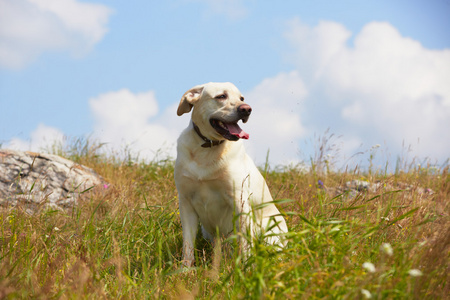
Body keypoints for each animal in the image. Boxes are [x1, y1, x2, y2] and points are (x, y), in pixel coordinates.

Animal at [174, 82, 286, 268]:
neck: (208, 149)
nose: (247, 109)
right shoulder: (186, 202)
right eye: (221, 96)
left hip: (269, 230)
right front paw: (185, 270)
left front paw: (247, 267)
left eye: (241, 98)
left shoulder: (239, 200)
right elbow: (187, 244)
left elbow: (246, 243)